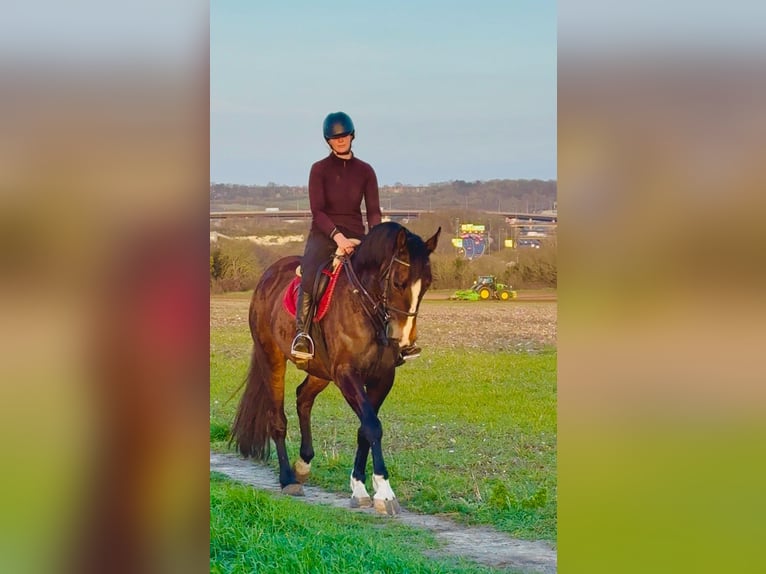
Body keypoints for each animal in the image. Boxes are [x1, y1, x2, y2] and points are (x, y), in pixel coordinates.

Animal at [231, 221, 440, 515]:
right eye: (399, 282)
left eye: (427, 285)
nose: (405, 341)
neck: (366, 307)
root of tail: (268, 276)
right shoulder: (346, 375)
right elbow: (372, 426)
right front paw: (385, 492)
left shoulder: (382, 378)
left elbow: (365, 429)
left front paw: (360, 487)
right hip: (272, 358)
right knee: (277, 418)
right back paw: (288, 479)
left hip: (321, 371)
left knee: (303, 398)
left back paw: (303, 464)